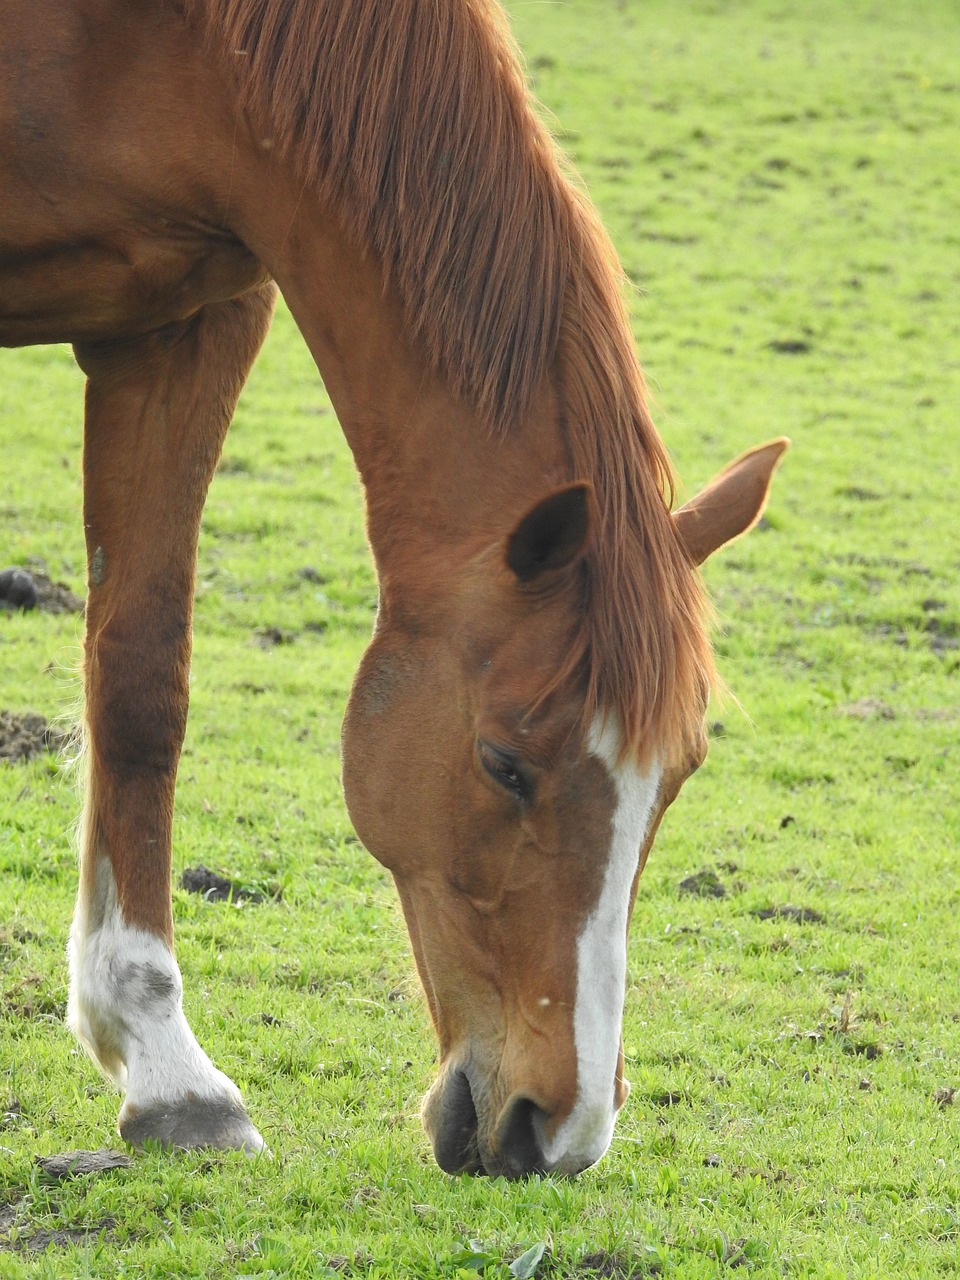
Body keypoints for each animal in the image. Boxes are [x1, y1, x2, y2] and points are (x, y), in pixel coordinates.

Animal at [0, 0, 788, 1177]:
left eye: (678, 777)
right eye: (505, 764)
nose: (560, 1131)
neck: (184, 39)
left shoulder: (186, 322)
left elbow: (140, 682)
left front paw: (164, 1067)